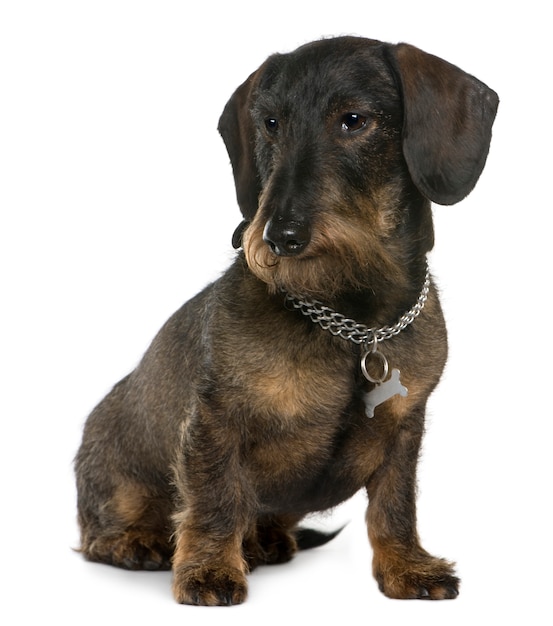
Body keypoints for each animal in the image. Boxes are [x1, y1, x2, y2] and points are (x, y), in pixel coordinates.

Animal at [73, 36, 496, 604]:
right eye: (271, 123)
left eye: (354, 120)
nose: (278, 237)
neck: (352, 322)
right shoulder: (216, 420)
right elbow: (215, 498)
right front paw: (209, 569)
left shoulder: (406, 427)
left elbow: (395, 505)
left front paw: (407, 567)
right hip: (118, 478)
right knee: (102, 532)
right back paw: (137, 542)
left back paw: (264, 541)